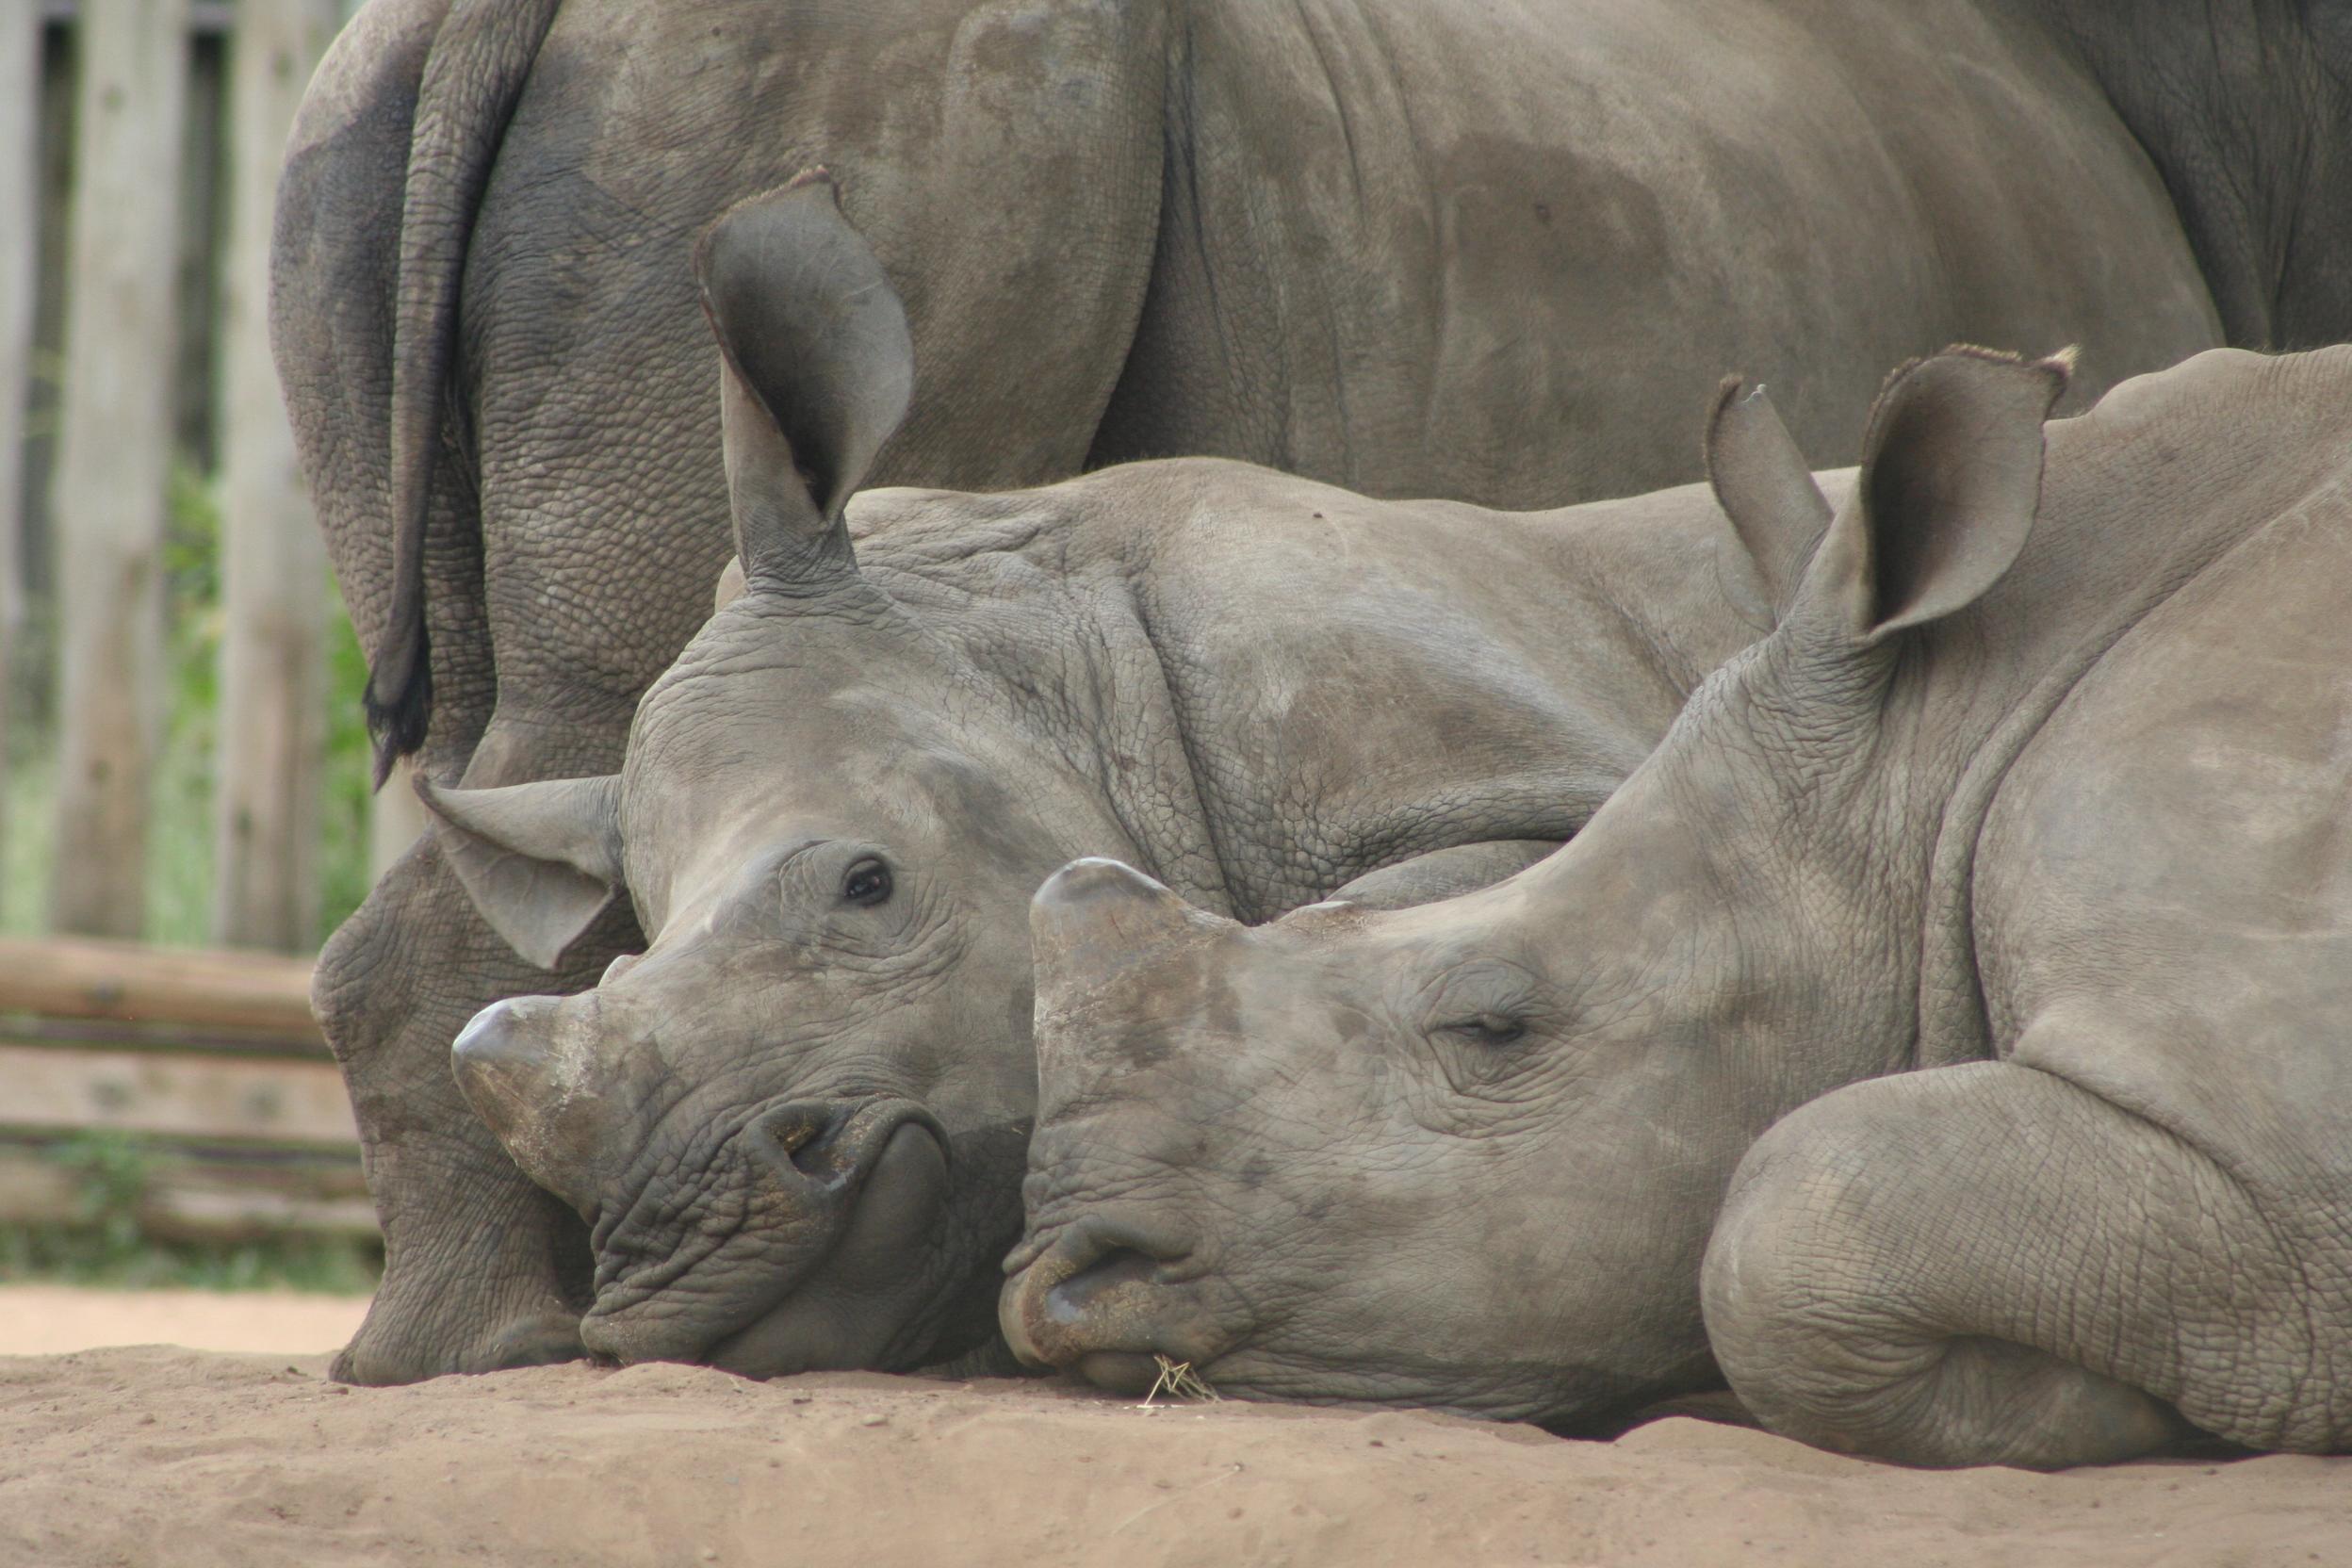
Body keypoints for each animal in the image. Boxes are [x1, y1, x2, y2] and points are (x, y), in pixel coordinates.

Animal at [1002, 343, 2352, 1476]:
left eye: (1495, 1026)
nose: (1059, 1268)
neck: (1944, 739)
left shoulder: (2268, 1128)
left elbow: (1794, 1208)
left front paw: (2113, 1409)